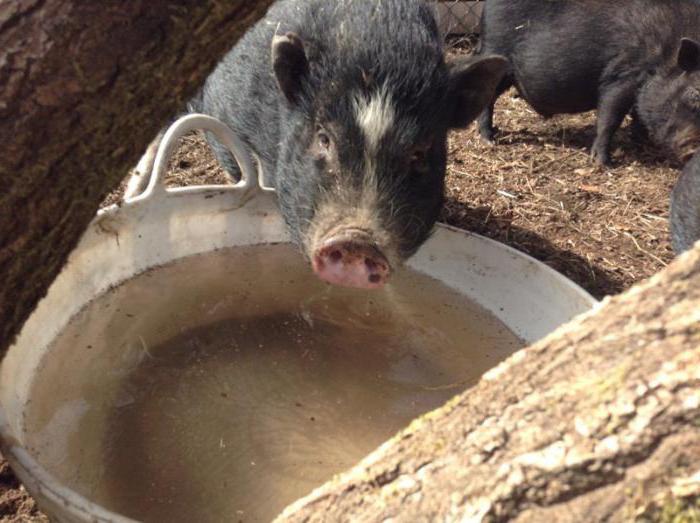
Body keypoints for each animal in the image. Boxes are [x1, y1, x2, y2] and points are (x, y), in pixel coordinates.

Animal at [476, 0, 700, 166]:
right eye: (695, 94)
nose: (694, 149)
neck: (666, 53)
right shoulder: (621, 75)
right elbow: (610, 118)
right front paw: (603, 164)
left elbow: (636, 116)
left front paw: (640, 142)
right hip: (498, 52)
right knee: (487, 96)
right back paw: (489, 138)